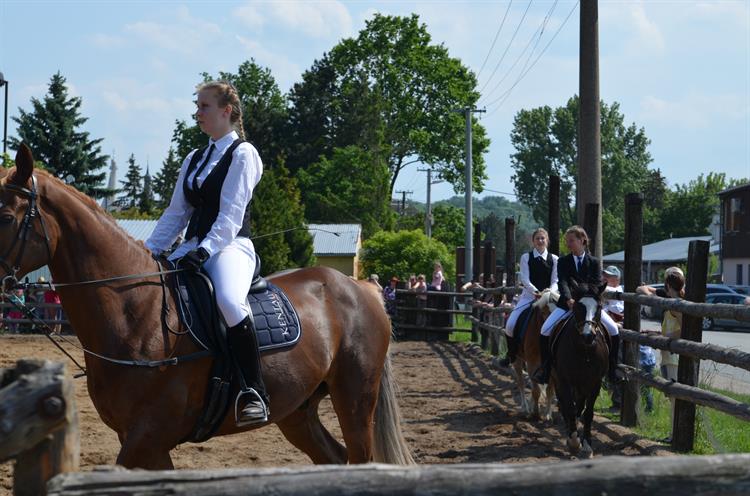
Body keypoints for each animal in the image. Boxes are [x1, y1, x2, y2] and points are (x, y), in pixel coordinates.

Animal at [0, 146, 414, 468]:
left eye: (5, 217)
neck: (136, 314)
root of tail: (361, 287)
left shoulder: (147, 436)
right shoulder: (141, 440)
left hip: (355, 399)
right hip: (298, 411)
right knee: (333, 458)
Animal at [512, 290, 560, 422]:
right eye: (543, 312)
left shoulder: (551, 366)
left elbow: (549, 390)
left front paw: (548, 414)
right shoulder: (532, 363)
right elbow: (536, 390)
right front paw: (535, 413)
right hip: (517, 360)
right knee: (521, 382)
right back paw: (525, 407)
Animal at [552, 280, 612, 460]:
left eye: (599, 307)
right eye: (578, 307)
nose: (588, 336)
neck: (585, 350)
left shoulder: (594, 382)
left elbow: (588, 413)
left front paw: (587, 446)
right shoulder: (565, 380)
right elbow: (570, 408)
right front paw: (573, 443)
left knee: (578, 405)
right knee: (566, 404)